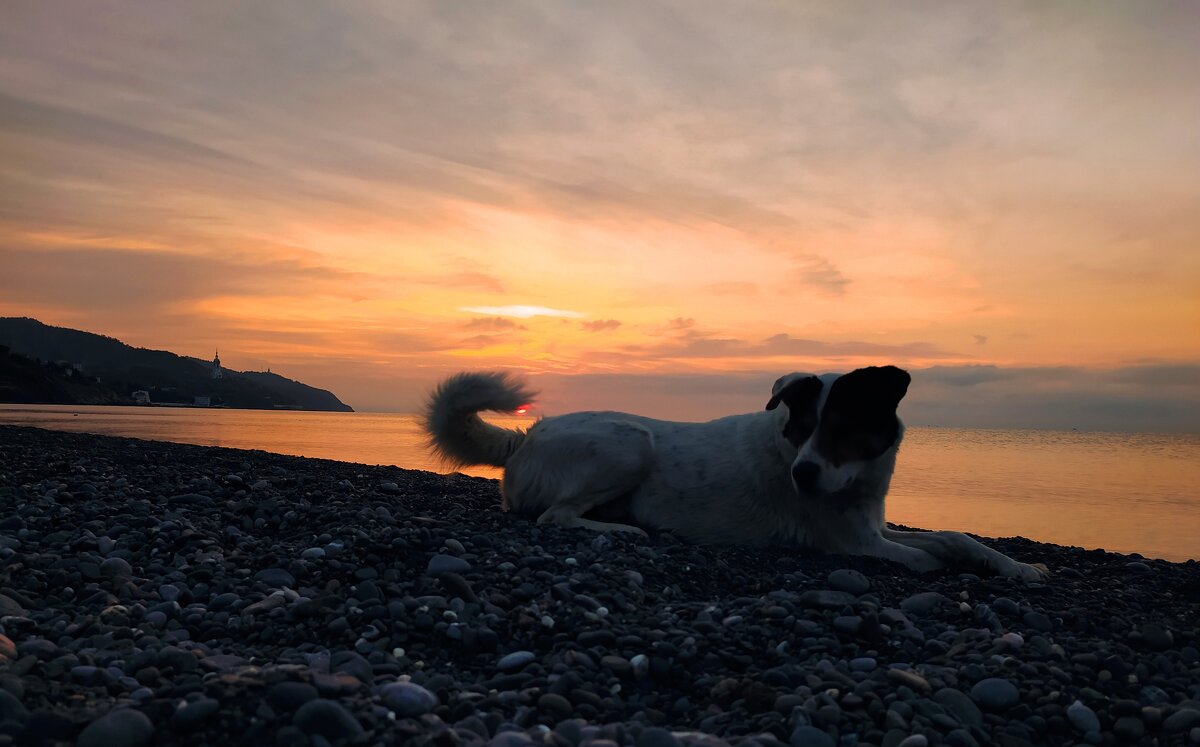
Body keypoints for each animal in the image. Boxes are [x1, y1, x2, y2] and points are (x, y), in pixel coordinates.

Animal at [427, 365, 1046, 583]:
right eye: (803, 427)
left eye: (842, 428)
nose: (802, 476)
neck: (856, 486)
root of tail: (525, 437)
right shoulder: (851, 541)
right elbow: (925, 557)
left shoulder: (876, 524)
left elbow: (956, 537)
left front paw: (1021, 566)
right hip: (629, 444)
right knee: (555, 517)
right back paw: (625, 530)